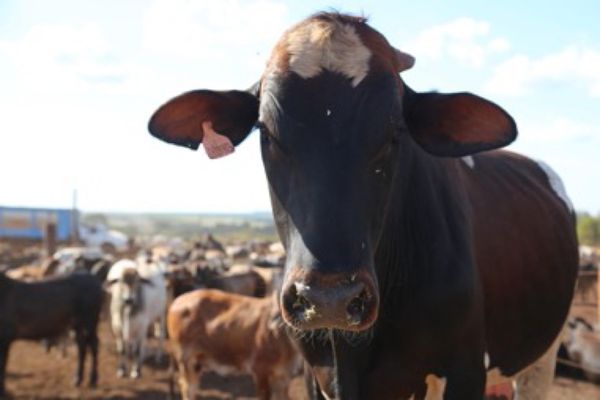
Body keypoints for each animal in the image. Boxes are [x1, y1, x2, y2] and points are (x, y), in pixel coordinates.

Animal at [166, 290, 298, 400]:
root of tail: (177, 301)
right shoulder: (260, 371)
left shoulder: (283, 377)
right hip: (185, 359)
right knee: (187, 388)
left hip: (196, 363)